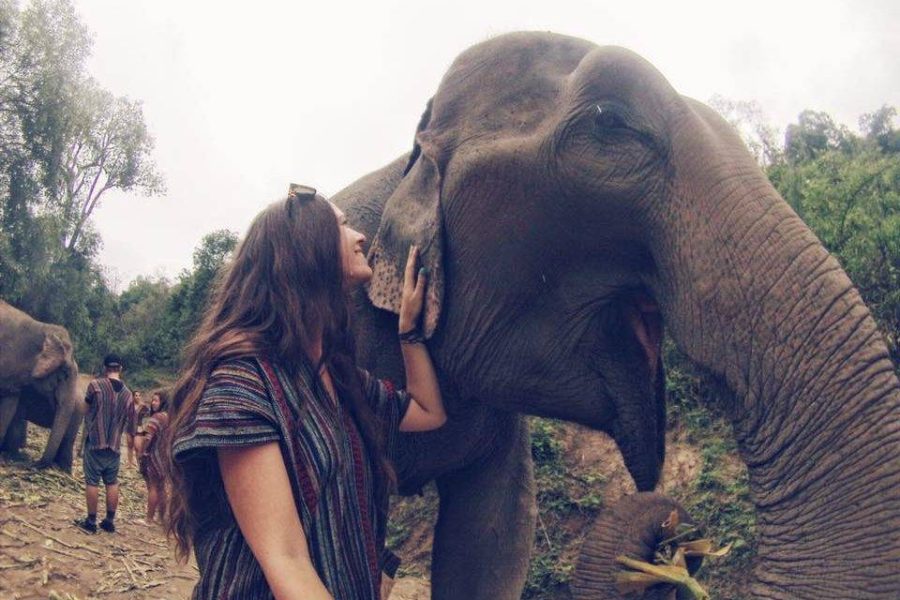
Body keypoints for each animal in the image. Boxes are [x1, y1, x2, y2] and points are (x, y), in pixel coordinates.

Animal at [0, 300, 85, 471]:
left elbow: (10, 404)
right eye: (65, 373)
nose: (34, 464)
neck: (41, 326)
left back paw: (64, 470)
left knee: (68, 439)